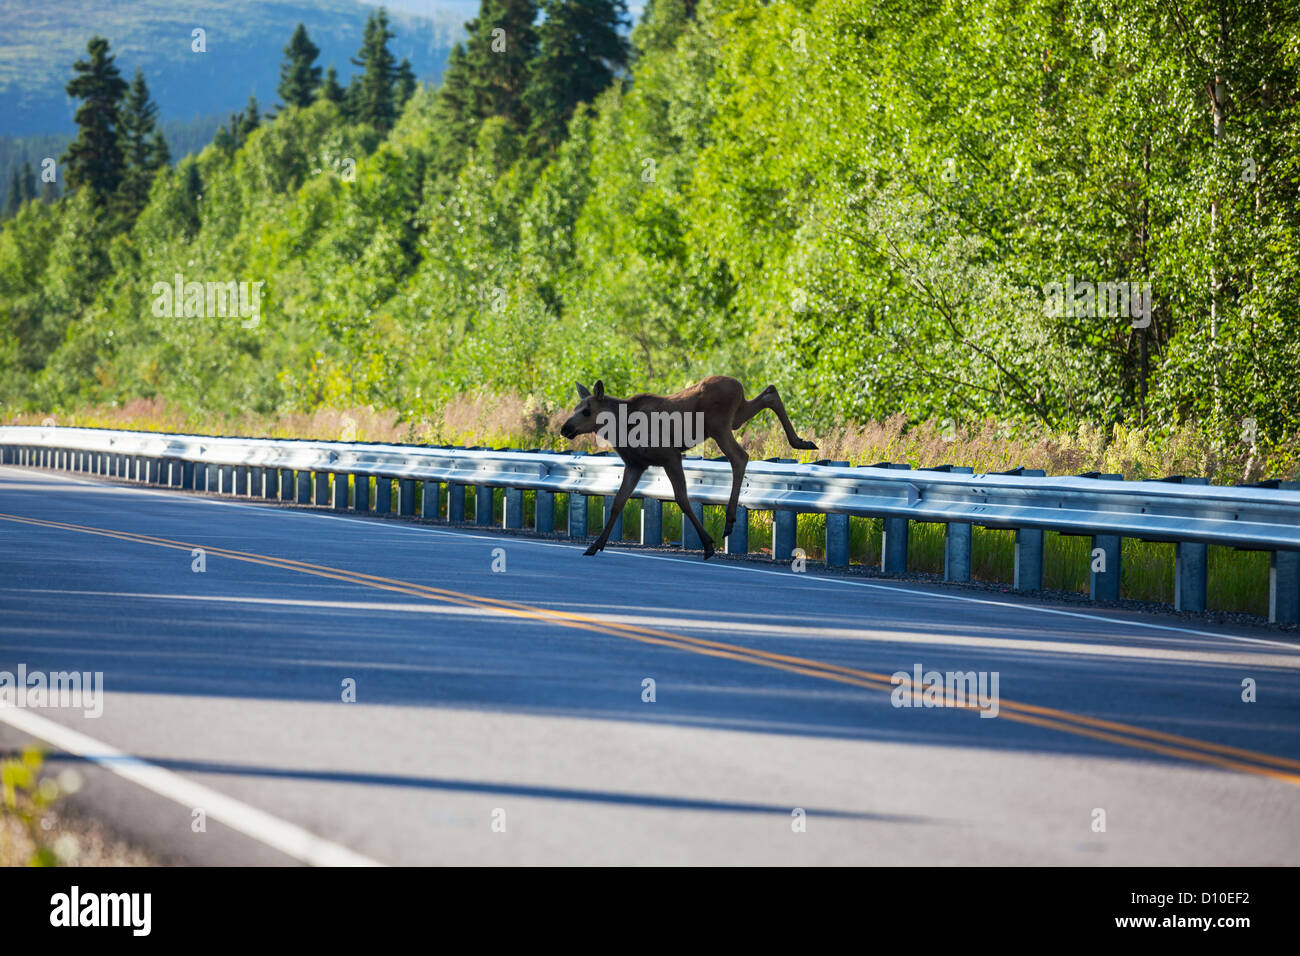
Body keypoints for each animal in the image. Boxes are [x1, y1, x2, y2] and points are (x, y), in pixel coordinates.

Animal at [559, 376, 817, 559]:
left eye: (587, 411)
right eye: (575, 408)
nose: (565, 428)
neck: (622, 429)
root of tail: (737, 384)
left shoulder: (670, 456)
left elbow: (682, 499)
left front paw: (708, 544)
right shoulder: (636, 464)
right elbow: (617, 503)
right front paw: (595, 545)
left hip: (719, 426)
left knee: (740, 457)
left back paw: (729, 520)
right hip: (734, 418)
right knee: (769, 394)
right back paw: (802, 441)